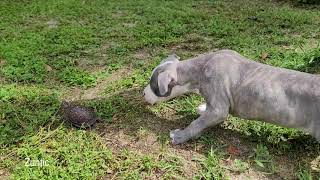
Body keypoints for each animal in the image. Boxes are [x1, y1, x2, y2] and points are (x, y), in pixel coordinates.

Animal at [143, 49, 320, 145]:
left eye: (153, 86)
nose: (143, 93)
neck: (200, 69)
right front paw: (203, 108)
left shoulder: (219, 110)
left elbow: (197, 123)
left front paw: (180, 135)